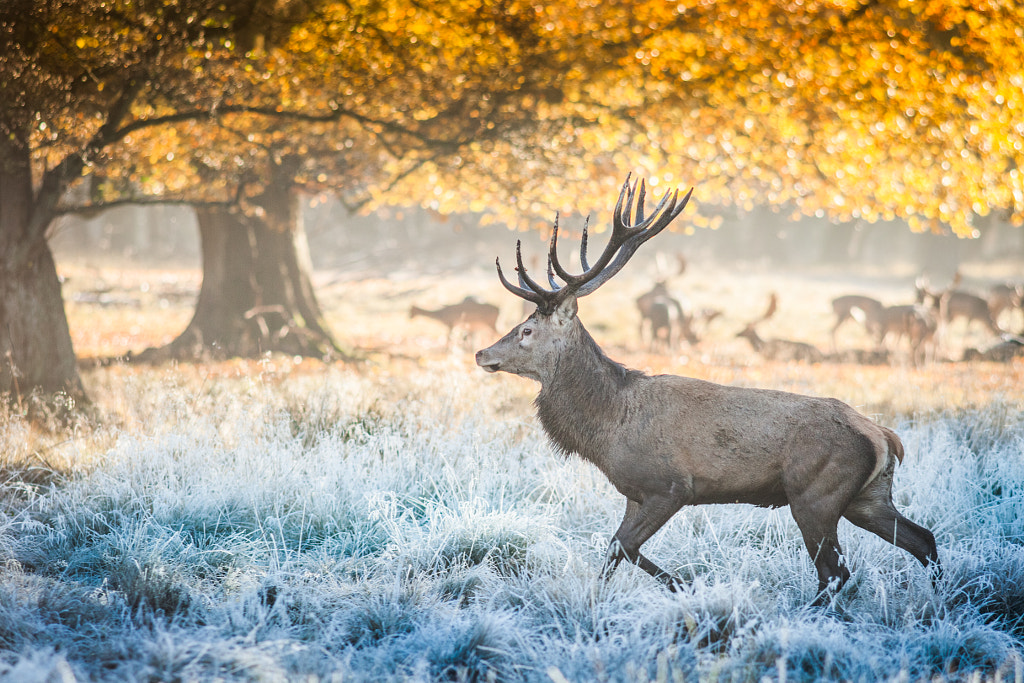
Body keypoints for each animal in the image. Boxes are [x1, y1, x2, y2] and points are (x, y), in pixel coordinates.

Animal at [475, 176, 937, 602]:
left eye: (526, 331)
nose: (481, 353)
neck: (608, 427)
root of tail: (885, 436)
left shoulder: (670, 486)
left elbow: (622, 547)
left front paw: (683, 585)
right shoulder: (634, 492)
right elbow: (615, 550)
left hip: (816, 494)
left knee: (835, 572)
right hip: (868, 498)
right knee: (923, 539)